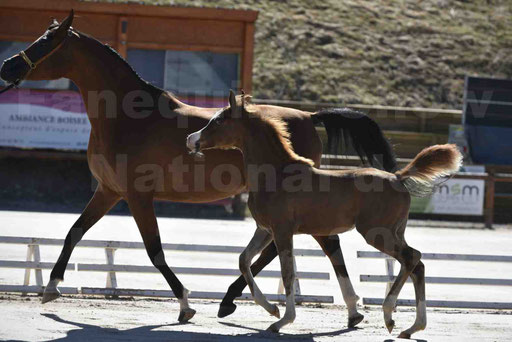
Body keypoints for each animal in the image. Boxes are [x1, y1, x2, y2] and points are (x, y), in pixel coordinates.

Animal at [1, 11, 396, 326]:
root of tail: (309, 116)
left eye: (47, 40)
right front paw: (51, 287)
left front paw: (185, 305)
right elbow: (74, 231)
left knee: (310, 244)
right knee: (306, 245)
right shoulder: (108, 191)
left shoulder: (137, 196)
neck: (128, 118)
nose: (7, 67)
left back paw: (245, 303)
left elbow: (155, 251)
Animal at [187, 90, 464, 336]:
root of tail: (398, 177)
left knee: (411, 257)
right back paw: (411, 327)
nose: (191, 139)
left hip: (377, 233)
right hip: (395, 232)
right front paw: (272, 309)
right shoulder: (265, 229)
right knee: (417, 264)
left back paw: (389, 315)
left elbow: (288, 274)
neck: (276, 173)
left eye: (218, 120)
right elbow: (244, 260)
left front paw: (282, 320)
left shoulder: (282, 231)